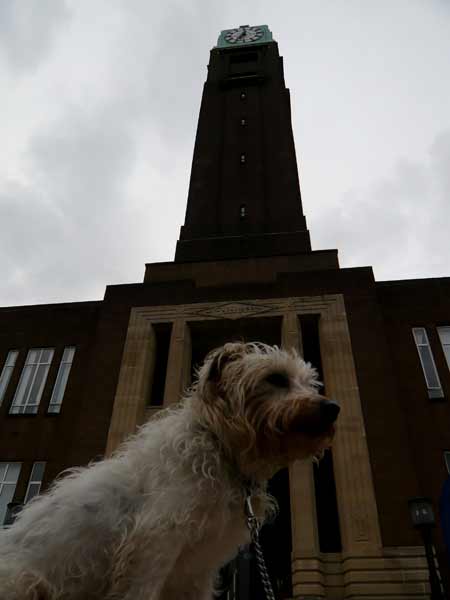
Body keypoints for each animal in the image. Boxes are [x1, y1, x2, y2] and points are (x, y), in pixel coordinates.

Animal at [0, 342, 338, 600]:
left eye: (310, 383)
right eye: (276, 378)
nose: (333, 408)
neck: (220, 450)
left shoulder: (196, 571)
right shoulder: (151, 550)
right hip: (25, 583)